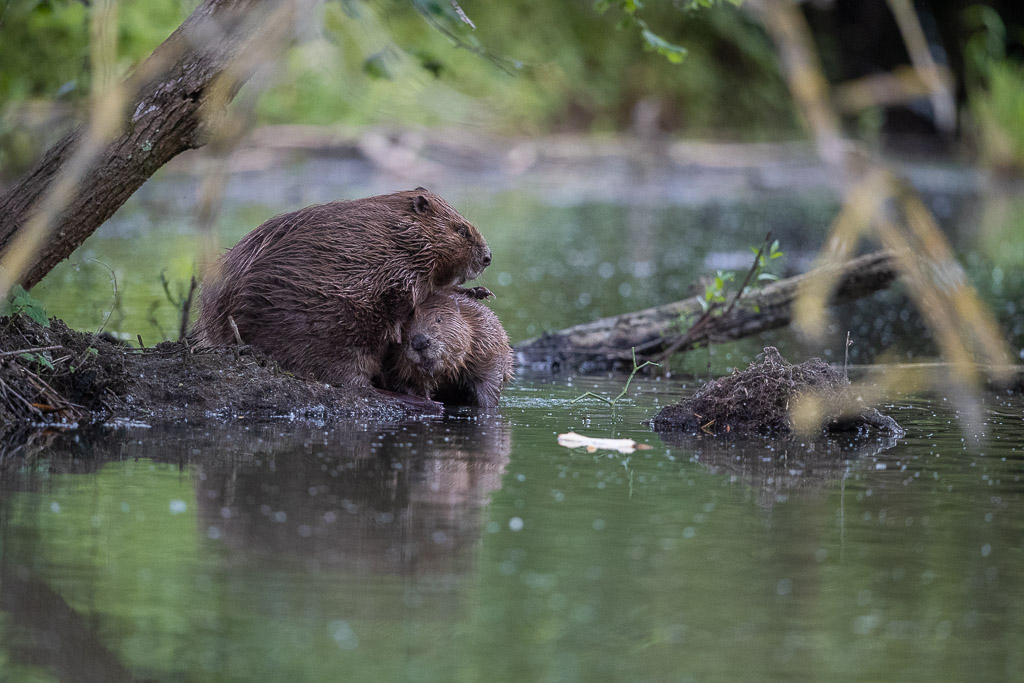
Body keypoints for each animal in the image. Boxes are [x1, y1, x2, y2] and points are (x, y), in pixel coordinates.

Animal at [197, 189, 493, 387]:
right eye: (462, 231)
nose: (488, 257)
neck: (399, 234)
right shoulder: (397, 268)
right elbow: (412, 301)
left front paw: (479, 292)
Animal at [380, 290, 516, 409]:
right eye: (404, 324)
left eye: (439, 319)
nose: (420, 342)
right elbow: (404, 381)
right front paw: (426, 400)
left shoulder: (486, 341)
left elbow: (489, 381)